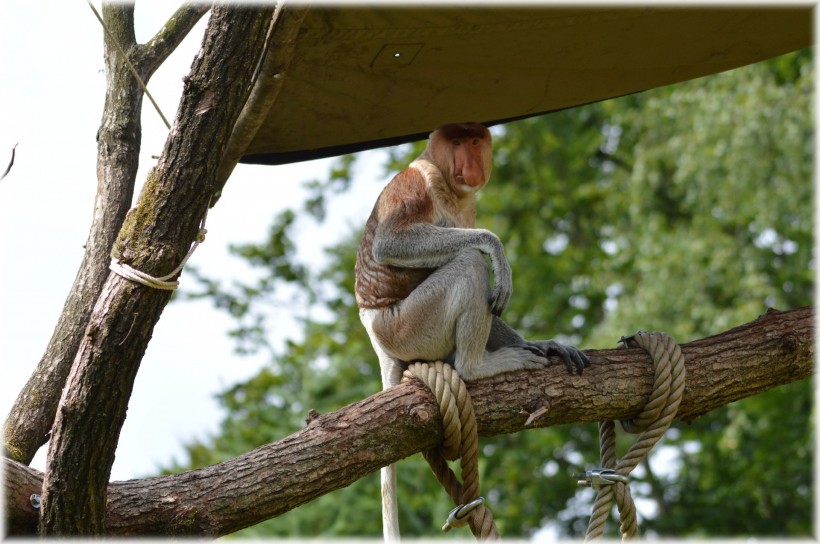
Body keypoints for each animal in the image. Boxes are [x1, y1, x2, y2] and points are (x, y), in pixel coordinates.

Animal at [354, 121, 588, 540]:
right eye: (458, 141)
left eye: (477, 141)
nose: (470, 164)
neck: (448, 185)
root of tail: (375, 332)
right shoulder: (418, 182)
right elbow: (392, 242)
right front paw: (494, 248)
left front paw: (550, 345)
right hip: (409, 324)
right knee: (468, 263)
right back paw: (477, 366)